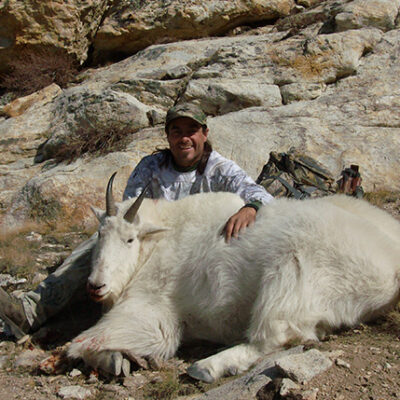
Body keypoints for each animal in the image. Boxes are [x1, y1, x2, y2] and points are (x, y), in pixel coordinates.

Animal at [67, 173, 400, 382]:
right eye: (99, 235)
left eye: (130, 239)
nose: (96, 286)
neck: (157, 242)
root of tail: (392, 269)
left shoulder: (152, 309)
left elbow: (84, 342)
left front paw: (114, 358)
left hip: (290, 274)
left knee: (274, 337)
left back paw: (207, 367)